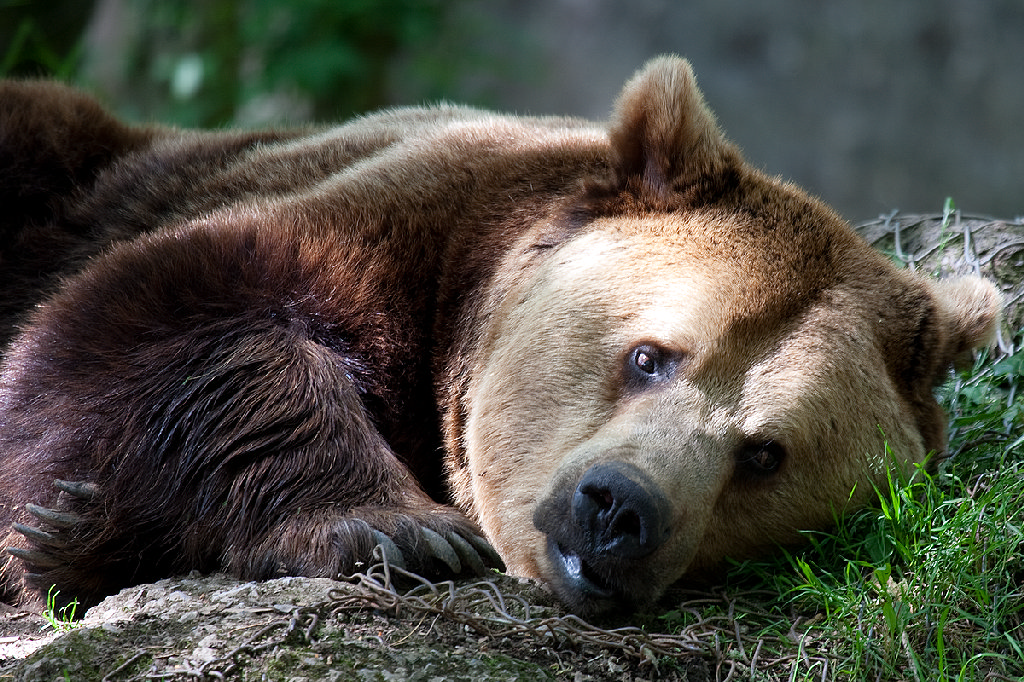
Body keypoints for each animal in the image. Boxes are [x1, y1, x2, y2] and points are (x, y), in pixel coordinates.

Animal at [0, 56, 1001, 617]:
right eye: (649, 356)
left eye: (765, 454)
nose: (620, 510)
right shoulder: (379, 223)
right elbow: (172, 315)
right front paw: (401, 530)